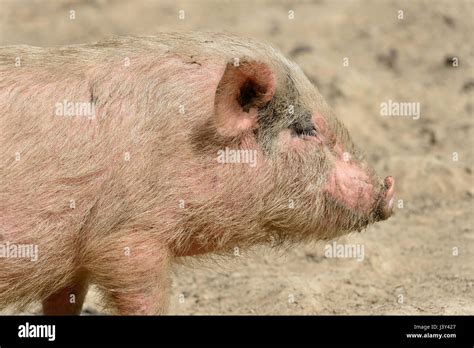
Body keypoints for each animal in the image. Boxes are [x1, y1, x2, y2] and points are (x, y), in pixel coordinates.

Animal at [0, 33, 392, 316]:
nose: (387, 191)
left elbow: (64, 301)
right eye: (305, 129)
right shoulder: (128, 238)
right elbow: (144, 299)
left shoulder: (74, 261)